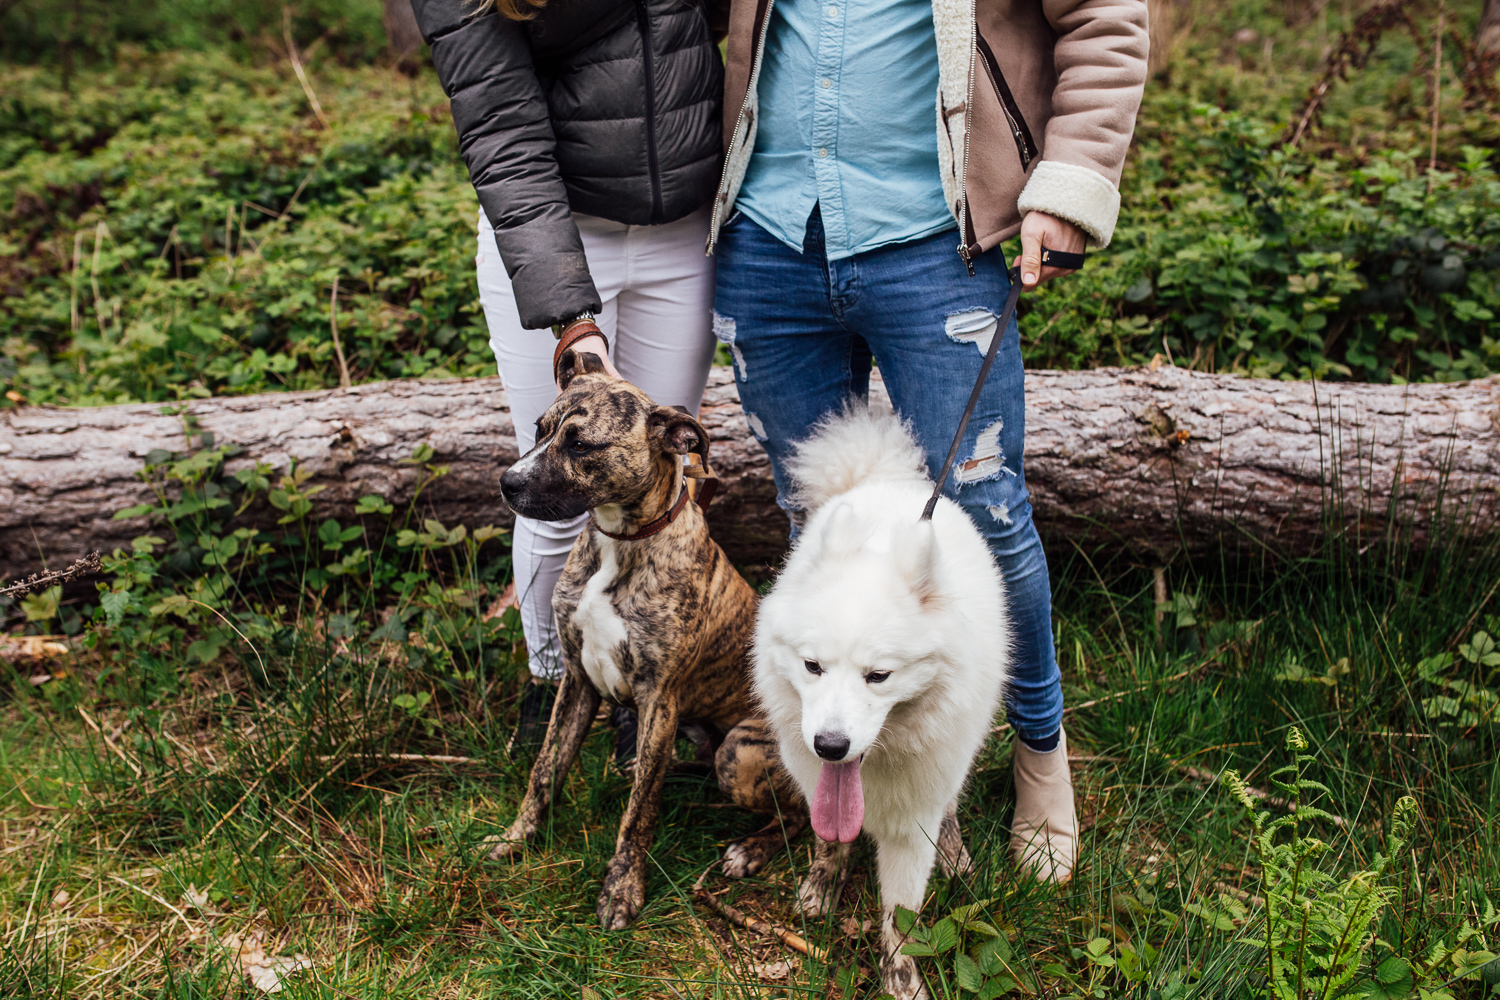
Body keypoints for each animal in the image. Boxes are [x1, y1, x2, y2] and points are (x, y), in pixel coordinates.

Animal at [486, 352, 804, 929]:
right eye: (540, 430)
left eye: (580, 445)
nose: (506, 482)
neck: (619, 541)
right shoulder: (577, 679)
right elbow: (544, 771)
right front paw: (517, 839)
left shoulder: (660, 697)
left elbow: (637, 815)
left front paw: (622, 890)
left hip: (741, 752)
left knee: (802, 815)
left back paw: (749, 849)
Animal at [750, 407, 1008, 1000]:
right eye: (812, 666)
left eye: (879, 676)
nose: (830, 745)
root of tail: (889, 480)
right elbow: (829, 842)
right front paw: (823, 883)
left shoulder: (913, 825)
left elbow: (900, 919)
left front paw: (902, 980)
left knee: (952, 805)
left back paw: (955, 853)